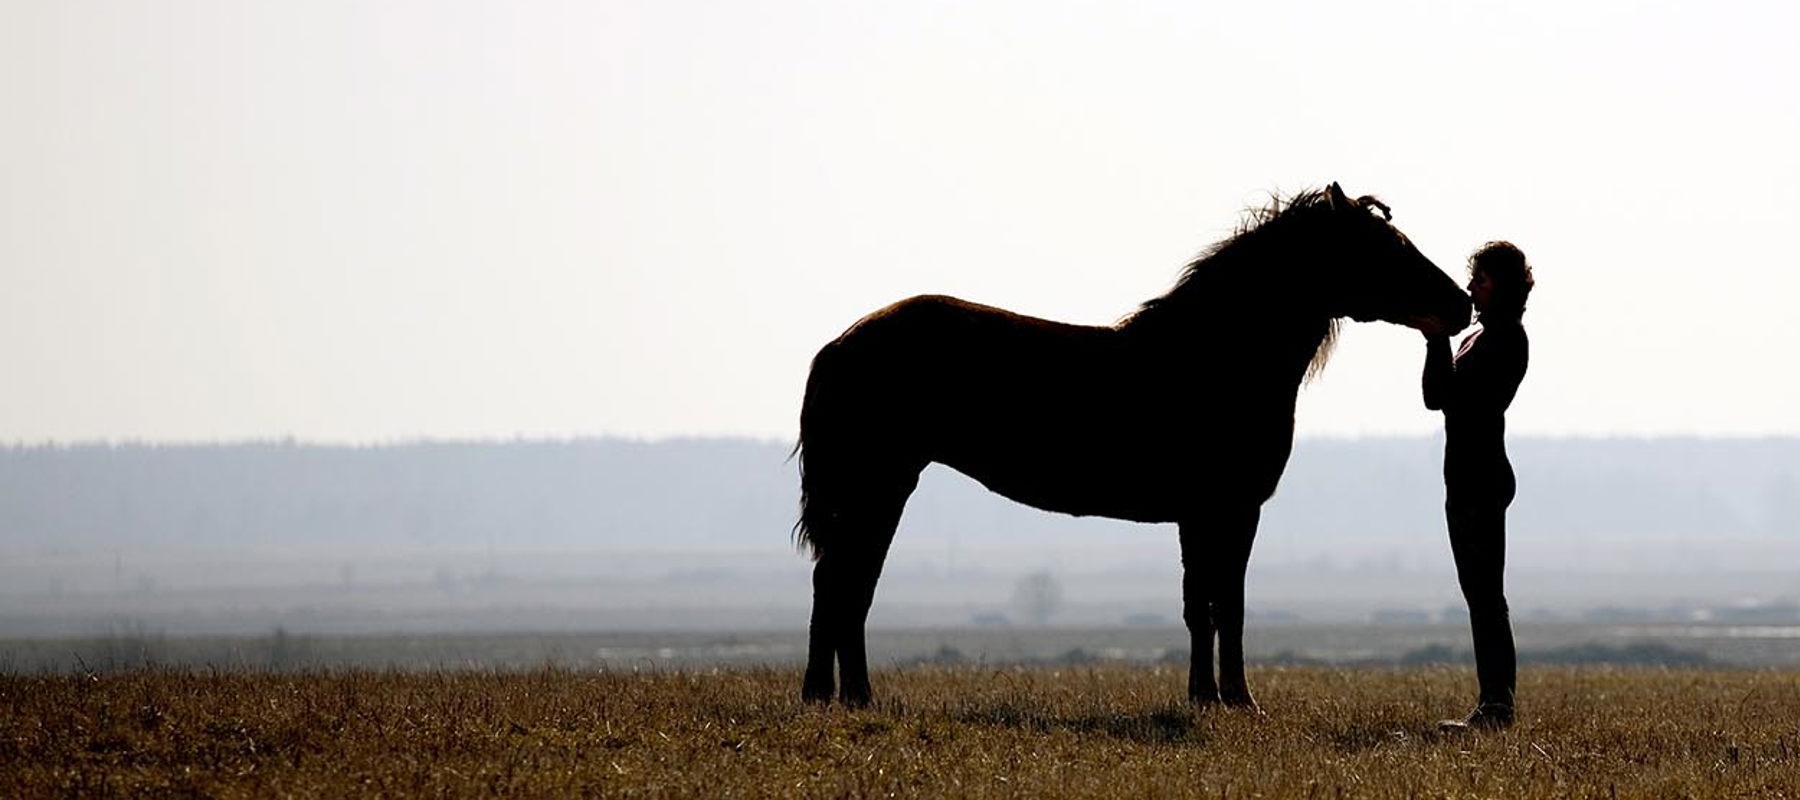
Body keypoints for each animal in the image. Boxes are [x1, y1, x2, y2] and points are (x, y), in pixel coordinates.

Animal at [792, 183, 1470, 707]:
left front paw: (1205, 697)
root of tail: (840, 345)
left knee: (841, 585)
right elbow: (1228, 605)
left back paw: (832, 696)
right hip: (880, 487)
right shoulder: (1231, 511)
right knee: (845, 584)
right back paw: (849, 696)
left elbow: (1201, 605)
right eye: (1389, 247)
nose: (1460, 304)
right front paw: (1239, 700)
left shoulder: (1200, 517)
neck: (1218, 356)